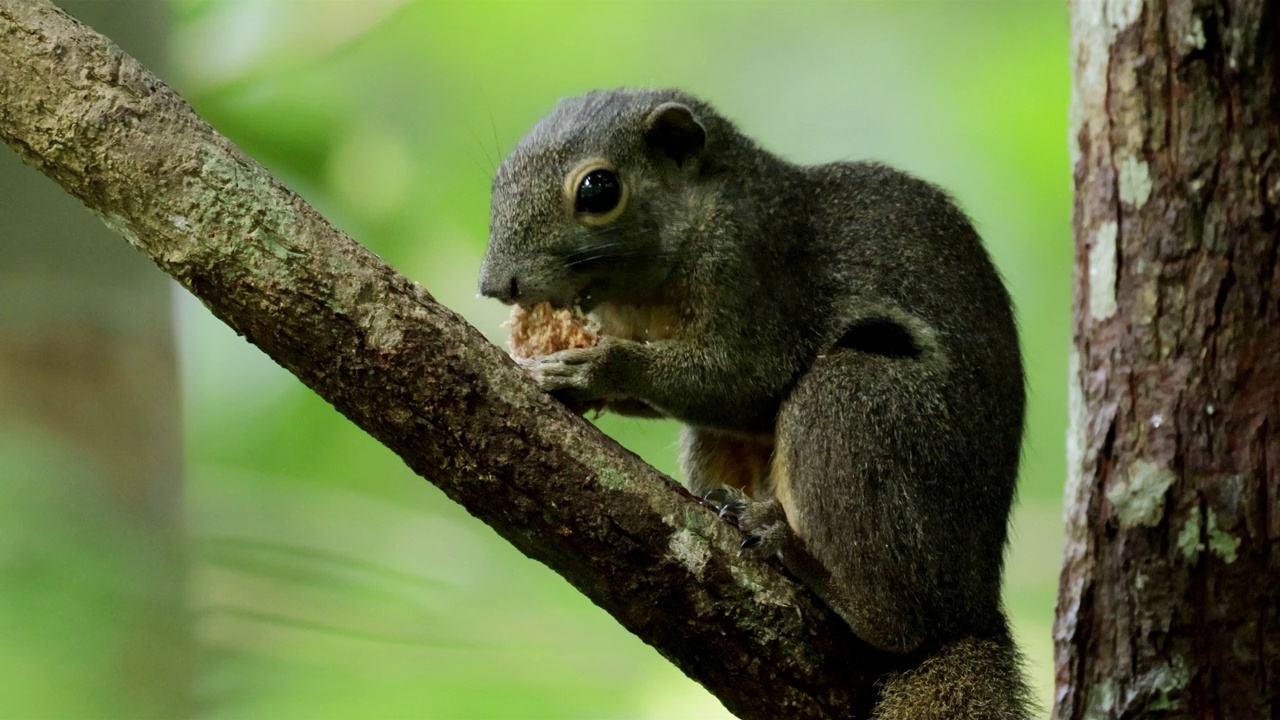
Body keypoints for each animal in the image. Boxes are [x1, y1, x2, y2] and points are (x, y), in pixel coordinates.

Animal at [478, 89, 1029, 717]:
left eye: (598, 190)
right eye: (498, 179)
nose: (494, 285)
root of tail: (972, 605)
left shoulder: (758, 275)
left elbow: (746, 381)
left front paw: (598, 366)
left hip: (855, 405)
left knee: (900, 626)